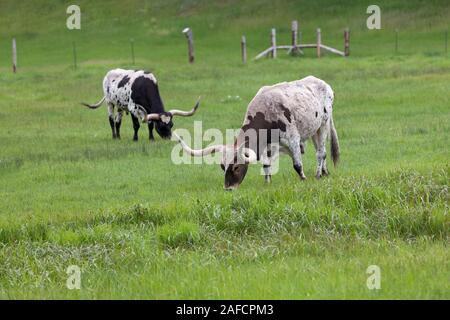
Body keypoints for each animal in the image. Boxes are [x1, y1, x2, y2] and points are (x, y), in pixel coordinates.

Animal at [174, 75, 340, 190]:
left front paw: (303, 179)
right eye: (222, 166)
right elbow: (266, 165)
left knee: (321, 153)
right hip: (314, 130)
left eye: (236, 167)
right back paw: (324, 172)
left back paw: (318, 175)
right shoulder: (267, 146)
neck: (265, 112)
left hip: (324, 124)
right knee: (321, 150)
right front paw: (267, 183)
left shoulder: (293, 139)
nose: (228, 188)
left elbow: (297, 165)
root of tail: (323, 83)